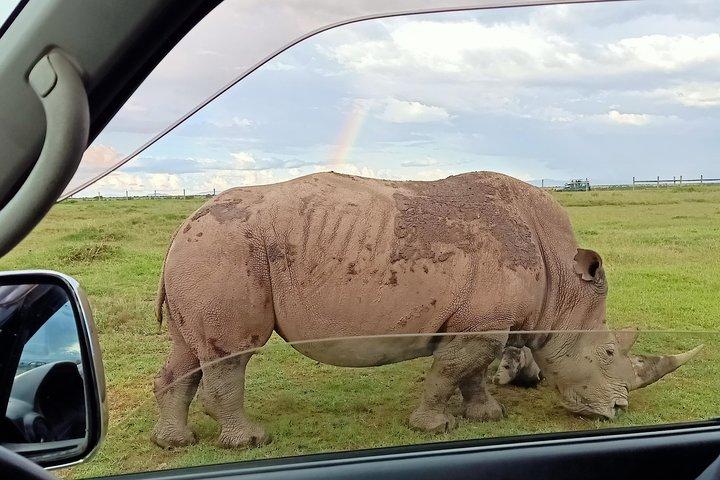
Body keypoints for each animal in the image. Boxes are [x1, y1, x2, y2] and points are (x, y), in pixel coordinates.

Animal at [151, 171, 701, 449]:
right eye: (607, 352)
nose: (618, 411)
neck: (563, 288)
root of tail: (180, 227)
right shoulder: (481, 326)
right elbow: (450, 371)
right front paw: (435, 428)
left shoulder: (483, 322)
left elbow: (471, 372)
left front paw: (488, 415)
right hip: (223, 250)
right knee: (231, 353)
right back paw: (250, 443)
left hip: (201, 253)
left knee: (186, 353)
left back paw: (174, 444)